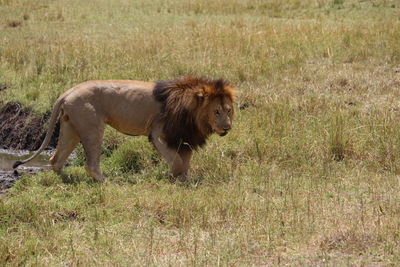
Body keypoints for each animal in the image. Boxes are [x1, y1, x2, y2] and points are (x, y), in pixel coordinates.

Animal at [14, 76, 236, 183]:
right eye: (216, 111)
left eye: (228, 110)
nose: (227, 128)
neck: (194, 113)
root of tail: (68, 91)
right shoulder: (159, 133)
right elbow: (176, 162)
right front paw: (172, 178)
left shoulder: (186, 137)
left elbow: (185, 162)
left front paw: (184, 180)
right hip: (92, 126)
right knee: (90, 163)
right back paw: (106, 182)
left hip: (71, 128)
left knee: (56, 159)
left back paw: (66, 179)